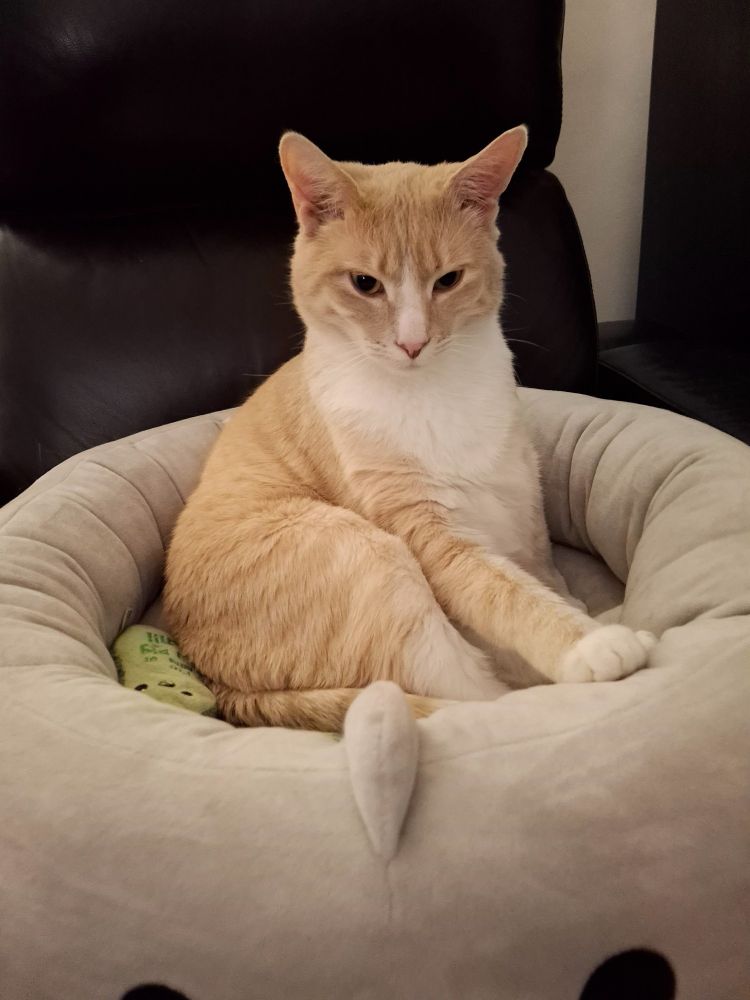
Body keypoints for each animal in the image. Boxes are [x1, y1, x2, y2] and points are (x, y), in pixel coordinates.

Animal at [164, 126, 656, 731]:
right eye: (364, 283)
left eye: (448, 280)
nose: (412, 342)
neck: (430, 393)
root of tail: (220, 684)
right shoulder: (423, 529)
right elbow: (502, 592)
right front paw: (589, 642)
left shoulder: (521, 494)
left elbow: (540, 571)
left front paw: (579, 610)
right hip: (369, 558)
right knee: (481, 694)